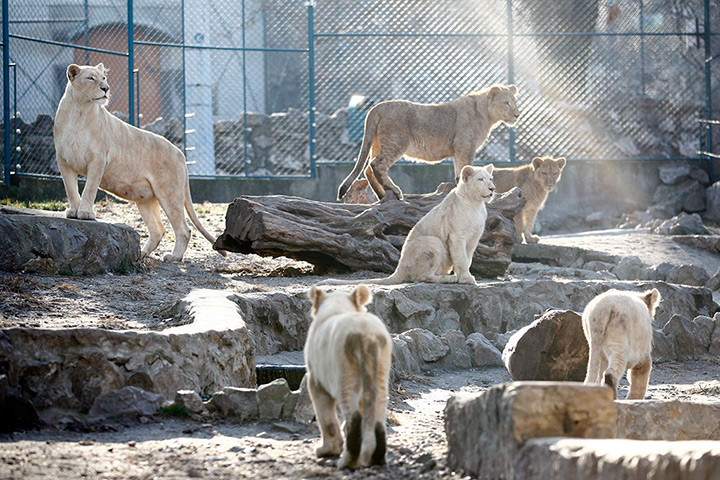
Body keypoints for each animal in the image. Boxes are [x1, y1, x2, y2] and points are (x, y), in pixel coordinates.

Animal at [53, 64, 225, 262]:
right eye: (90, 78)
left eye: (104, 78)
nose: (106, 89)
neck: (79, 111)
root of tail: (180, 153)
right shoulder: (63, 160)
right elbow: (70, 189)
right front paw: (73, 211)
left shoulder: (98, 160)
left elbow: (89, 189)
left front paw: (85, 213)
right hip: (146, 199)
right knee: (158, 230)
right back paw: (141, 254)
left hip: (169, 192)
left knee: (184, 229)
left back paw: (173, 257)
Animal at [305, 285, 392, 470]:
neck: (337, 306)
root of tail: (367, 336)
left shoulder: (316, 374)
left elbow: (323, 408)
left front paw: (325, 450)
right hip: (382, 360)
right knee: (378, 403)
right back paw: (376, 459)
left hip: (344, 361)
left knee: (351, 407)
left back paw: (347, 461)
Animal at [323, 165, 495, 286]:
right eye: (480, 179)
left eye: (491, 179)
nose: (492, 189)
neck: (475, 204)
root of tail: (400, 268)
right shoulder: (456, 236)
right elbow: (461, 259)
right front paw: (466, 279)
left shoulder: (473, 239)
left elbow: (468, 259)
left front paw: (465, 276)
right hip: (432, 242)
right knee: (422, 277)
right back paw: (449, 279)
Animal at [337, 85, 519, 201]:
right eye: (506, 103)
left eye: (515, 102)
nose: (517, 115)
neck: (486, 114)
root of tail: (377, 107)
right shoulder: (465, 146)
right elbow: (465, 169)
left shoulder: (459, 149)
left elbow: (458, 170)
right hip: (395, 142)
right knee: (377, 165)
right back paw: (395, 191)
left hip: (377, 144)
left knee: (367, 168)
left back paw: (382, 195)